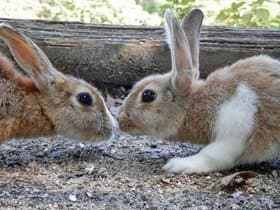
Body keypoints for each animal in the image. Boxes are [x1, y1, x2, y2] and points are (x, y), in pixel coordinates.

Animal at [117, 9, 280, 174]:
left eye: (148, 95)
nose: (120, 120)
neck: (199, 103)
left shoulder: (235, 131)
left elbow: (213, 156)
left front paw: (178, 164)